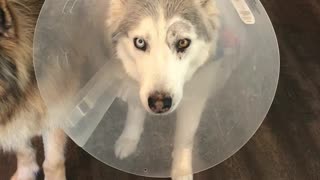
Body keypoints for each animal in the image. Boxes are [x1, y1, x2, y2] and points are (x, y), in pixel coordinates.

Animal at [107, 0, 238, 180]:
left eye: (183, 42)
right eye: (140, 42)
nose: (159, 103)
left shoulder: (194, 99)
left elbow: (184, 138)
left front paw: (181, 171)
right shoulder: (138, 87)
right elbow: (135, 113)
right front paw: (128, 139)